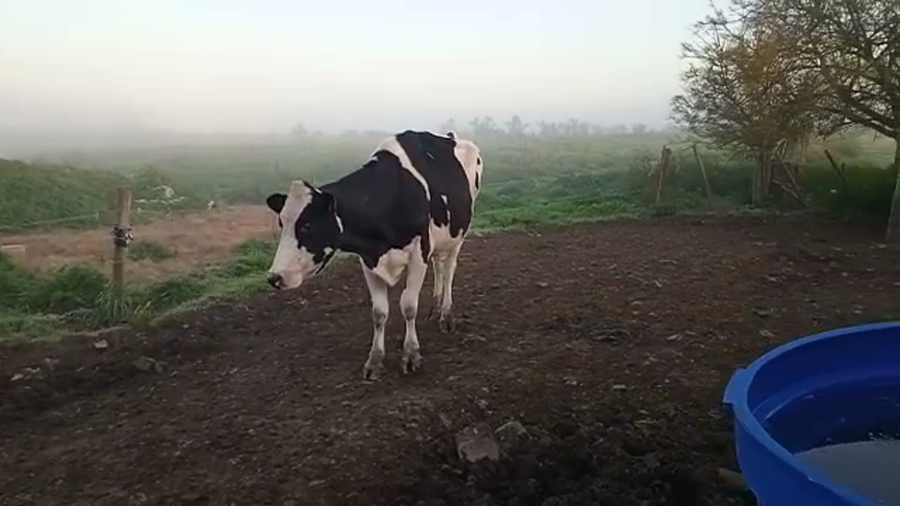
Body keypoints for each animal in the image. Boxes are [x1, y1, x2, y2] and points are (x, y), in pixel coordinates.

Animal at [264, 130, 483, 380]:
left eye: (307, 225)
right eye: (282, 223)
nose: (274, 277)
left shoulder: (419, 252)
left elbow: (409, 305)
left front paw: (411, 355)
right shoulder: (368, 259)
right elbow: (379, 312)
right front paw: (375, 360)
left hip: (459, 233)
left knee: (448, 271)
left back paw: (446, 315)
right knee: (438, 264)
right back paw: (436, 307)